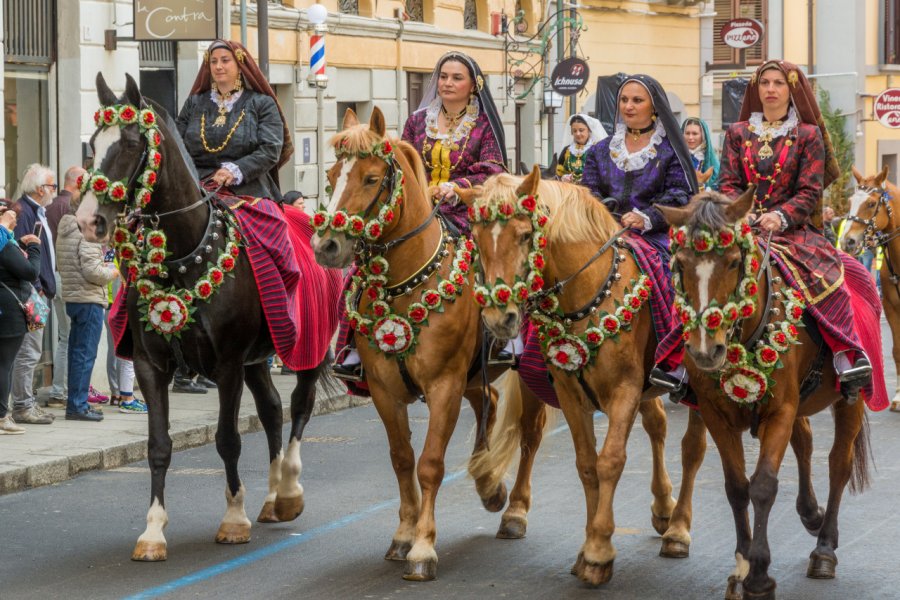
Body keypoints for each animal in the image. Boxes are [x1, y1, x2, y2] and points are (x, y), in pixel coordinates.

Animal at [310, 108, 548, 580]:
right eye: (330, 175)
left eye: (370, 178)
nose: (326, 245)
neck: (407, 284)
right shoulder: (384, 389)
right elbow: (402, 458)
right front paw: (403, 536)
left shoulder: (443, 386)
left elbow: (430, 464)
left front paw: (423, 549)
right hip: (473, 375)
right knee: (490, 402)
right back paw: (488, 485)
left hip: (519, 376)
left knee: (529, 434)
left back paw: (514, 511)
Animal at [464, 168, 712, 584]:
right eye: (478, 238)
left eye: (525, 235)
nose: (501, 317)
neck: (589, 294)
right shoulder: (570, 392)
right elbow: (587, 465)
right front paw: (589, 549)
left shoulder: (624, 391)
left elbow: (610, 461)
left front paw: (598, 552)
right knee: (656, 425)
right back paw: (663, 508)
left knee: (692, 449)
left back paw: (678, 530)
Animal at [652, 190, 872, 600]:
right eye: (680, 263)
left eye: (734, 262)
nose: (706, 350)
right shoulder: (716, 415)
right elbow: (737, 488)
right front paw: (741, 567)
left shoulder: (780, 411)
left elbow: (764, 486)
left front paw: (758, 575)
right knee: (805, 443)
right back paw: (810, 513)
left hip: (851, 397)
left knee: (839, 464)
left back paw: (824, 549)